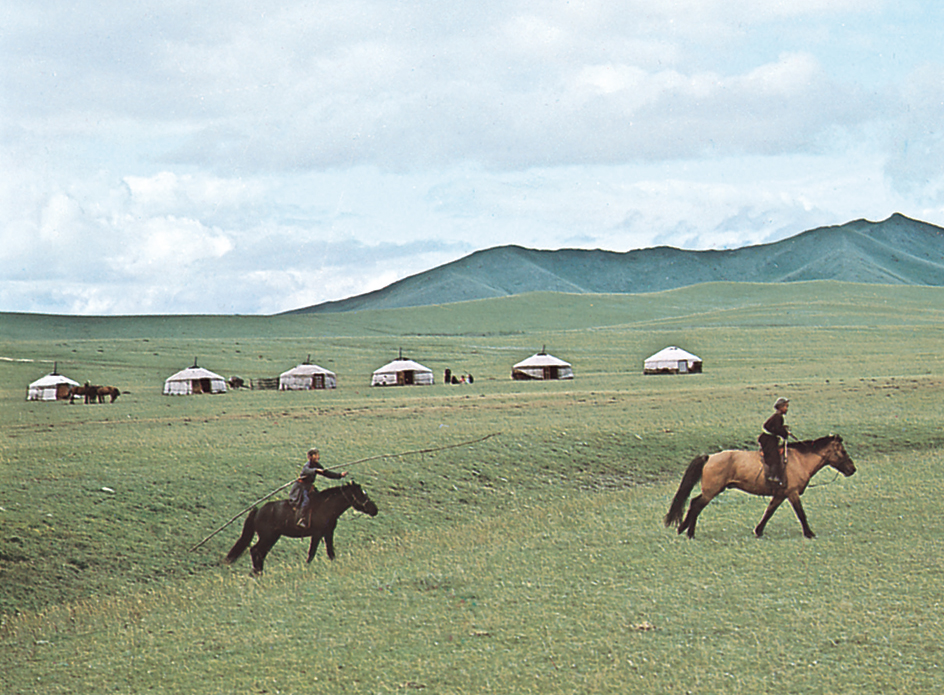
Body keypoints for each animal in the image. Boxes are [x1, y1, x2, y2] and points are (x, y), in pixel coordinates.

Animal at [225, 482, 380, 572]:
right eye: (361, 495)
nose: (374, 509)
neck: (327, 506)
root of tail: (258, 511)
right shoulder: (317, 534)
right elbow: (312, 553)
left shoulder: (328, 533)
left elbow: (330, 552)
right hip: (267, 537)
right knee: (255, 550)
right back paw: (257, 573)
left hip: (272, 537)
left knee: (260, 552)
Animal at [664, 436, 856, 544]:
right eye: (843, 451)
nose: (852, 469)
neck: (799, 460)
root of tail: (710, 457)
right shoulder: (792, 493)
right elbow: (801, 514)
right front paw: (809, 533)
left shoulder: (780, 495)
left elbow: (769, 512)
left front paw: (758, 531)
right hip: (711, 491)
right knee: (696, 505)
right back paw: (687, 532)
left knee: (695, 504)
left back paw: (687, 531)